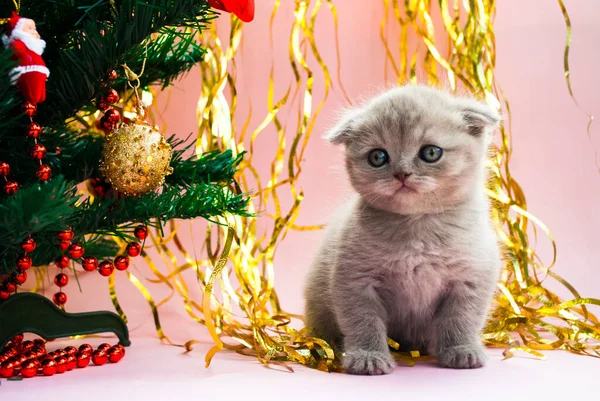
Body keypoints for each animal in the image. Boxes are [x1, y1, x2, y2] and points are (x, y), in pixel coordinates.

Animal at [304, 86, 502, 374]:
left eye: (431, 153)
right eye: (378, 157)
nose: (401, 174)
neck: (417, 230)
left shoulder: (472, 278)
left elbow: (461, 320)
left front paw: (461, 351)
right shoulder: (354, 280)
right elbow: (364, 322)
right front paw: (368, 357)